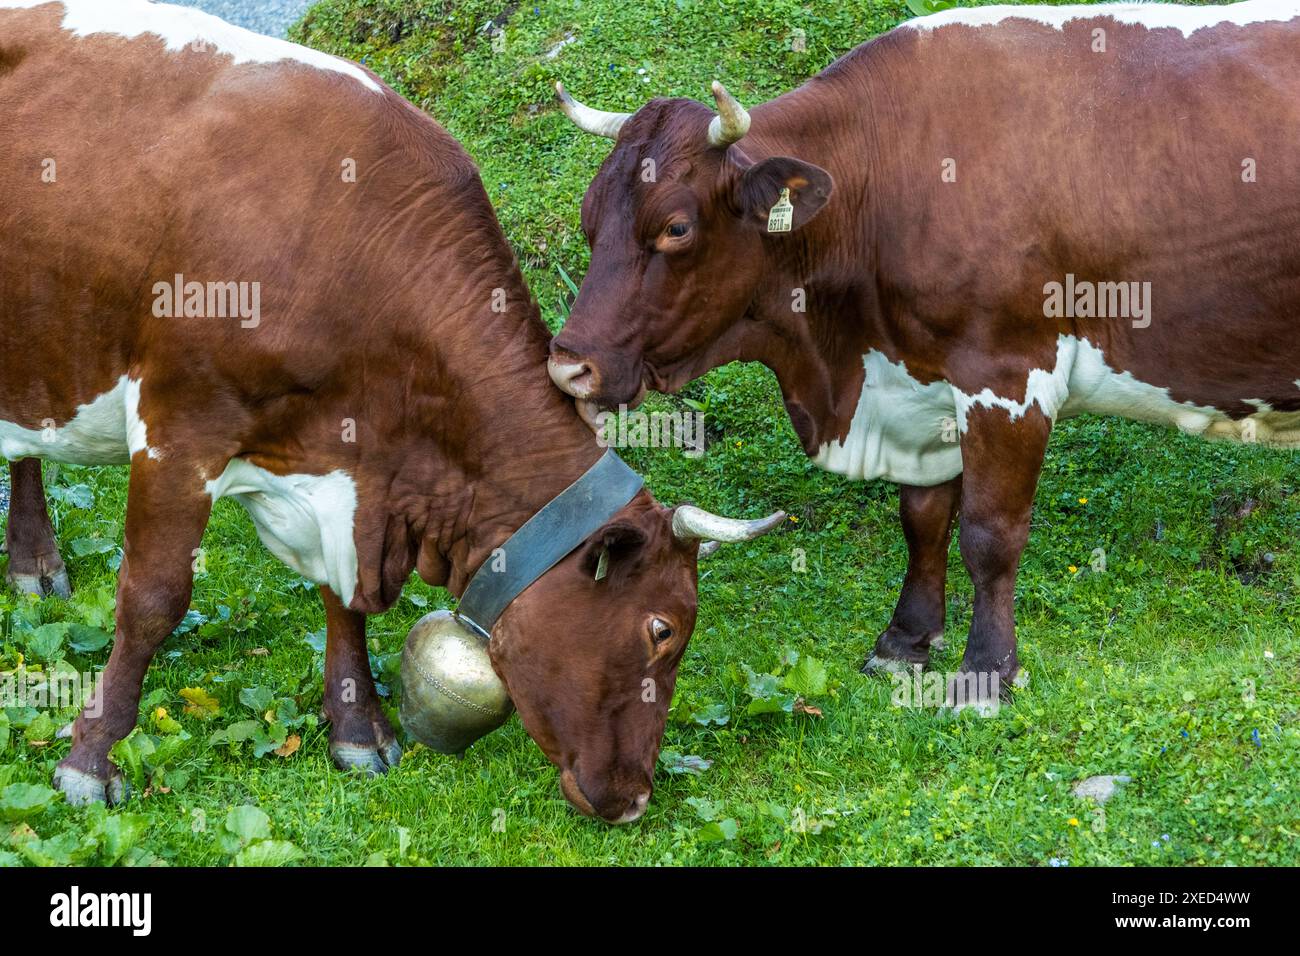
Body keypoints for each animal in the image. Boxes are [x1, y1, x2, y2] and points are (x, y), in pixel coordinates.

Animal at [0, 0, 781, 822]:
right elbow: (152, 600)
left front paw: (357, 728)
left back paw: (33, 560)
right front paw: (91, 756)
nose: (634, 798)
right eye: (662, 629)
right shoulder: (179, 430)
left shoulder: (350, 475)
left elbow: (344, 598)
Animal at [548, 1, 1300, 698]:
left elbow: (990, 534)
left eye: (675, 227)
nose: (568, 366)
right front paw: (905, 641)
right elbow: (924, 518)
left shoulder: (1008, 374)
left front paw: (986, 673)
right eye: (589, 216)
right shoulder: (918, 382)